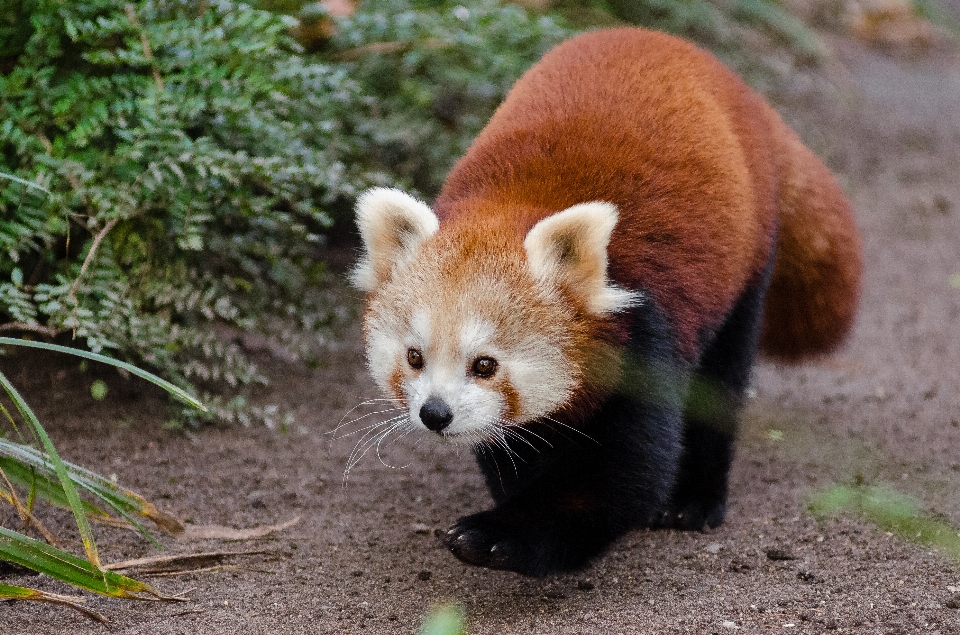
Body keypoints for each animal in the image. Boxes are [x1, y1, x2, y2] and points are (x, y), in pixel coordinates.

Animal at [348, 28, 860, 576]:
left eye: (485, 364)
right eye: (414, 357)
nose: (435, 413)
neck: (509, 206)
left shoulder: (644, 326)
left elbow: (622, 473)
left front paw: (506, 533)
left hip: (744, 264)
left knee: (720, 378)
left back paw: (696, 499)